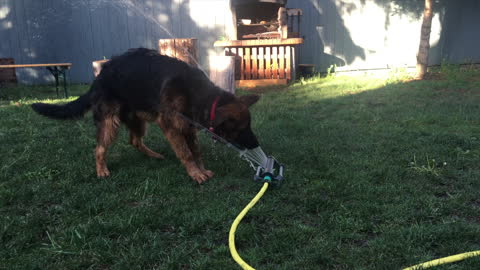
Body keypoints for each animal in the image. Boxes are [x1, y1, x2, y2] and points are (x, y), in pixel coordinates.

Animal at [31, 48, 260, 184]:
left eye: (249, 126)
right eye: (242, 129)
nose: (256, 145)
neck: (198, 95)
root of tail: (99, 78)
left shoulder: (187, 127)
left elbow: (195, 150)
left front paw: (200, 168)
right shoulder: (171, 125)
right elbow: (186, 152)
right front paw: (195, 173)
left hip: (138, 120)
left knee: (134, 140)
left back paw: (153, 155)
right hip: (110, 123)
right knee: (99, 148)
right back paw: (101, 169)